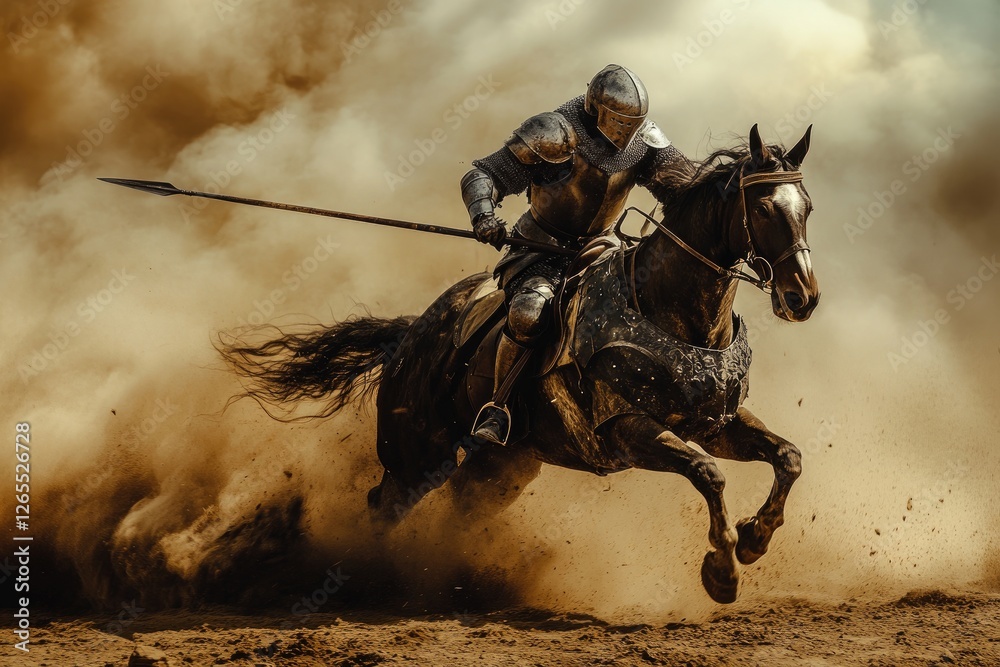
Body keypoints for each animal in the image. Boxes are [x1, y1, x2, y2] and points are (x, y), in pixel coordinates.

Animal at [218, 124, 819, 604]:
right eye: (764, 208)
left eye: (806, 208)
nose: (803, 297)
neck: (666, 306)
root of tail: (408, 338)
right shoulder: (627, 429)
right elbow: (709, 473)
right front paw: (723, 570)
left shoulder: (717, 423)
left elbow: (787, 457)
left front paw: (756, 537)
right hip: (415, 454)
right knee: (384, 504)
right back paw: (374, 582)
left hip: (501, 469)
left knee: (457, 506)